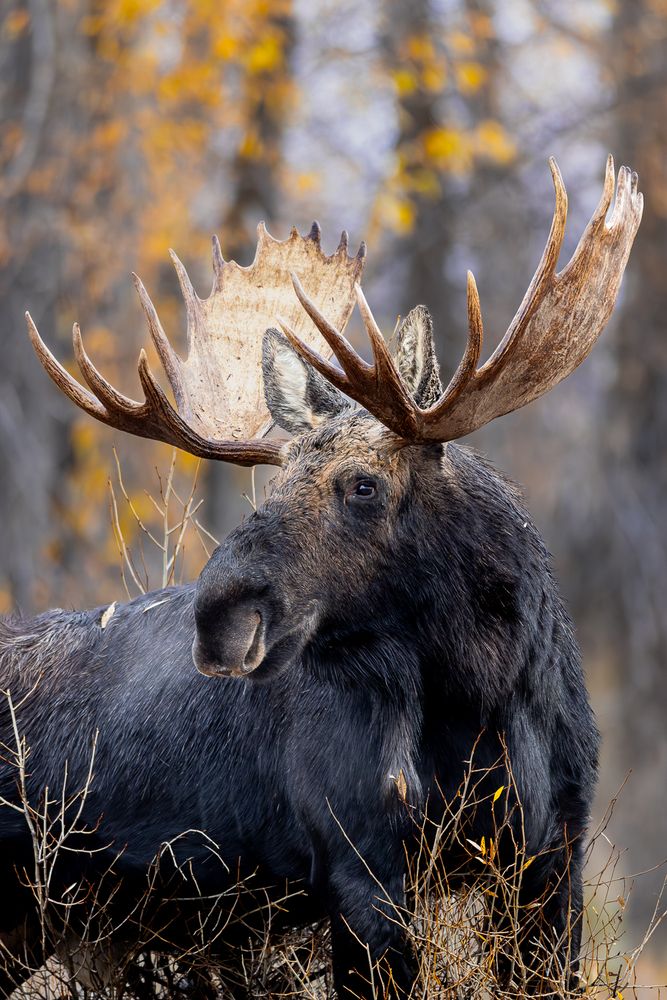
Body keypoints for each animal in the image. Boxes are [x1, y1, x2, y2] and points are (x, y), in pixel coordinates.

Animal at [0, 157, 642, 999]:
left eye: (363, 484)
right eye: (270, 485)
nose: (220, 618)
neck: (482, 698)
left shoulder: (550, 857)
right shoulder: (357, 859)